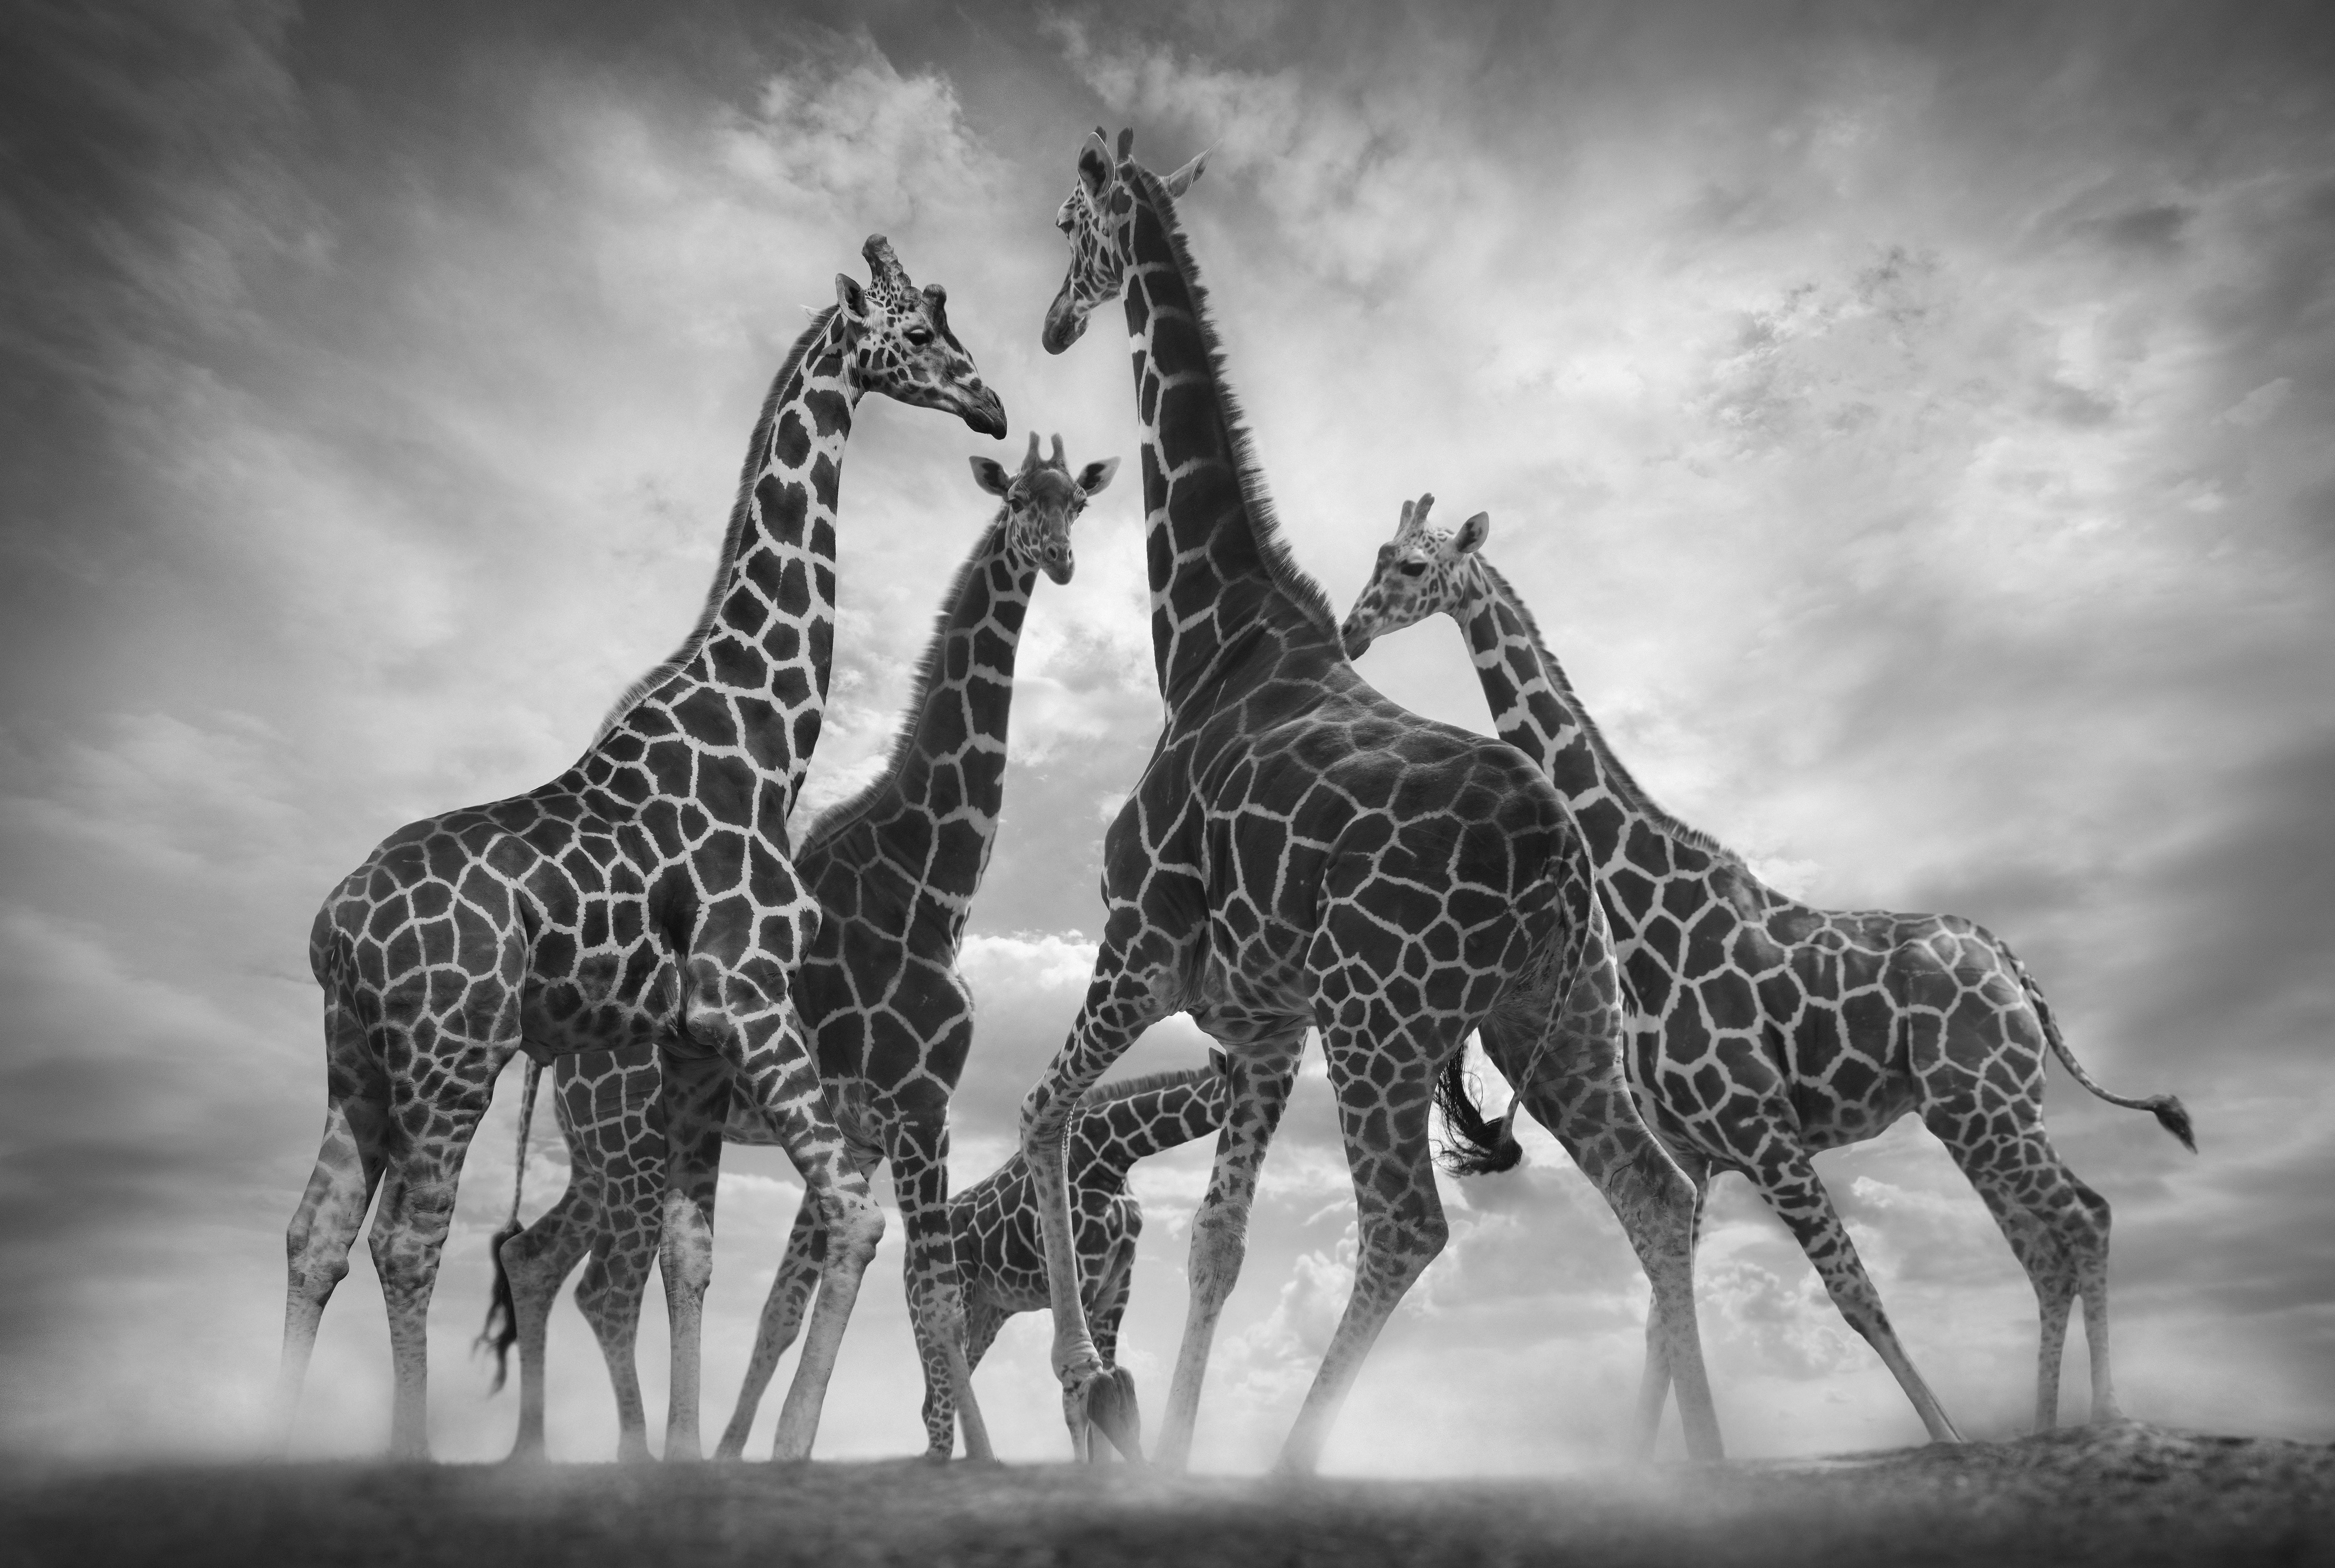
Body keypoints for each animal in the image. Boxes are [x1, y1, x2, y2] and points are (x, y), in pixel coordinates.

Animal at [279, 236, 1007, 1462]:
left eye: (952, 326)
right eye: (915, 332)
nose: (992, 405)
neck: (766, 736)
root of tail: (332, 925)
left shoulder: (694, 1045)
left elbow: (691, 1254)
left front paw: (681, 1454)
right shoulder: (752, 1001)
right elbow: (853, 1224)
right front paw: (776, 1450)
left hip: (357, 1059)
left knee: (317, 1235)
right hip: (452, 1052)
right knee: (410, 1243)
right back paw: (412, 1454)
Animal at [475, 434, 1118, 1463]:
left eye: (1077, 503)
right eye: (1021, 497)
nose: (1056, 557)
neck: (931, 884)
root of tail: (556, 1045)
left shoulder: (870, 1127)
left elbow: (808, 1299)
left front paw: (769, 1447)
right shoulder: (921, 1104)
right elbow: (931, 1297)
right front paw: (965, 1459)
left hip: (601, 1150)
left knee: (535, 1257)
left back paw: (545, 1451)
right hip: (626, 1139)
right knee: (599, 1283)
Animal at [1018, 128, 1724, 1474]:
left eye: (1073, 221)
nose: (1053, 324)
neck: (1207, 638)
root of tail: (1564, 853)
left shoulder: (1140, 941)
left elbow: (1044, 1111)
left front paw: (1094, 1392)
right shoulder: (1260, 1021)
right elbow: (1218, 1239)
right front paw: (1167, 1445)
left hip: (1382, 1015)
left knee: (1407, 1221)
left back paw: (1294, 1467)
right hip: (1553, 1019)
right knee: (1656, 1193)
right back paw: (1704, 1471)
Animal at [1338, 495, 2197, 1445]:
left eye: (1414, 566)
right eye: (1376, 553)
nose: (1351, 629)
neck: (1643, 916)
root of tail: (2014, 965)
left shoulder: (1761, 1128)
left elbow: (1853, 1290)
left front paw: (1947, 1439)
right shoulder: (1701, 1150)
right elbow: (1660, 1331)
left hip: (1988, 1105)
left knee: (2085, 1218)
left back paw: (2109, 1417)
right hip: (1974, 1111)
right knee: (2045, 1244)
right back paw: (2051, 1428)